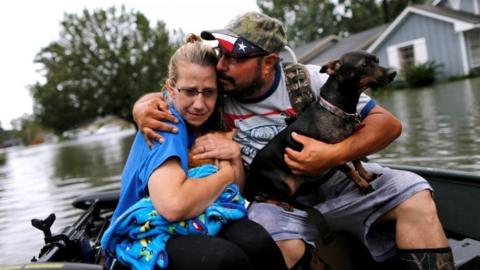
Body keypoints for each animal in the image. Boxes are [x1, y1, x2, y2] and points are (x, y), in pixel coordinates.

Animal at [246, 50, 396, 204]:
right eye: (364, 65)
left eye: (377, 60)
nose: (393, 73)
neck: (334, 109)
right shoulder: (332, 155)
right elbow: (350, 171)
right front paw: (363, 185)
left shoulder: (349, 147)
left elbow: (357, 161)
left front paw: (366, 176)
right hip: (285, 185)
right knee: (261, 197)